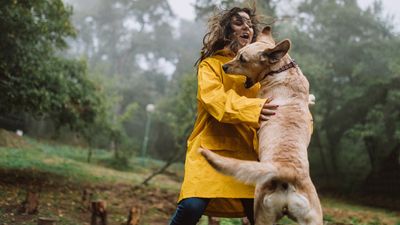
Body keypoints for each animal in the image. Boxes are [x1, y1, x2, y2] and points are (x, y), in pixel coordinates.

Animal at [198, 25, 324, 224]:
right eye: (237, 54)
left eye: (242, 59)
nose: (224, 67)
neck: (280, 69)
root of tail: (287, 170)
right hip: (312, 219)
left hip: (262, 212)